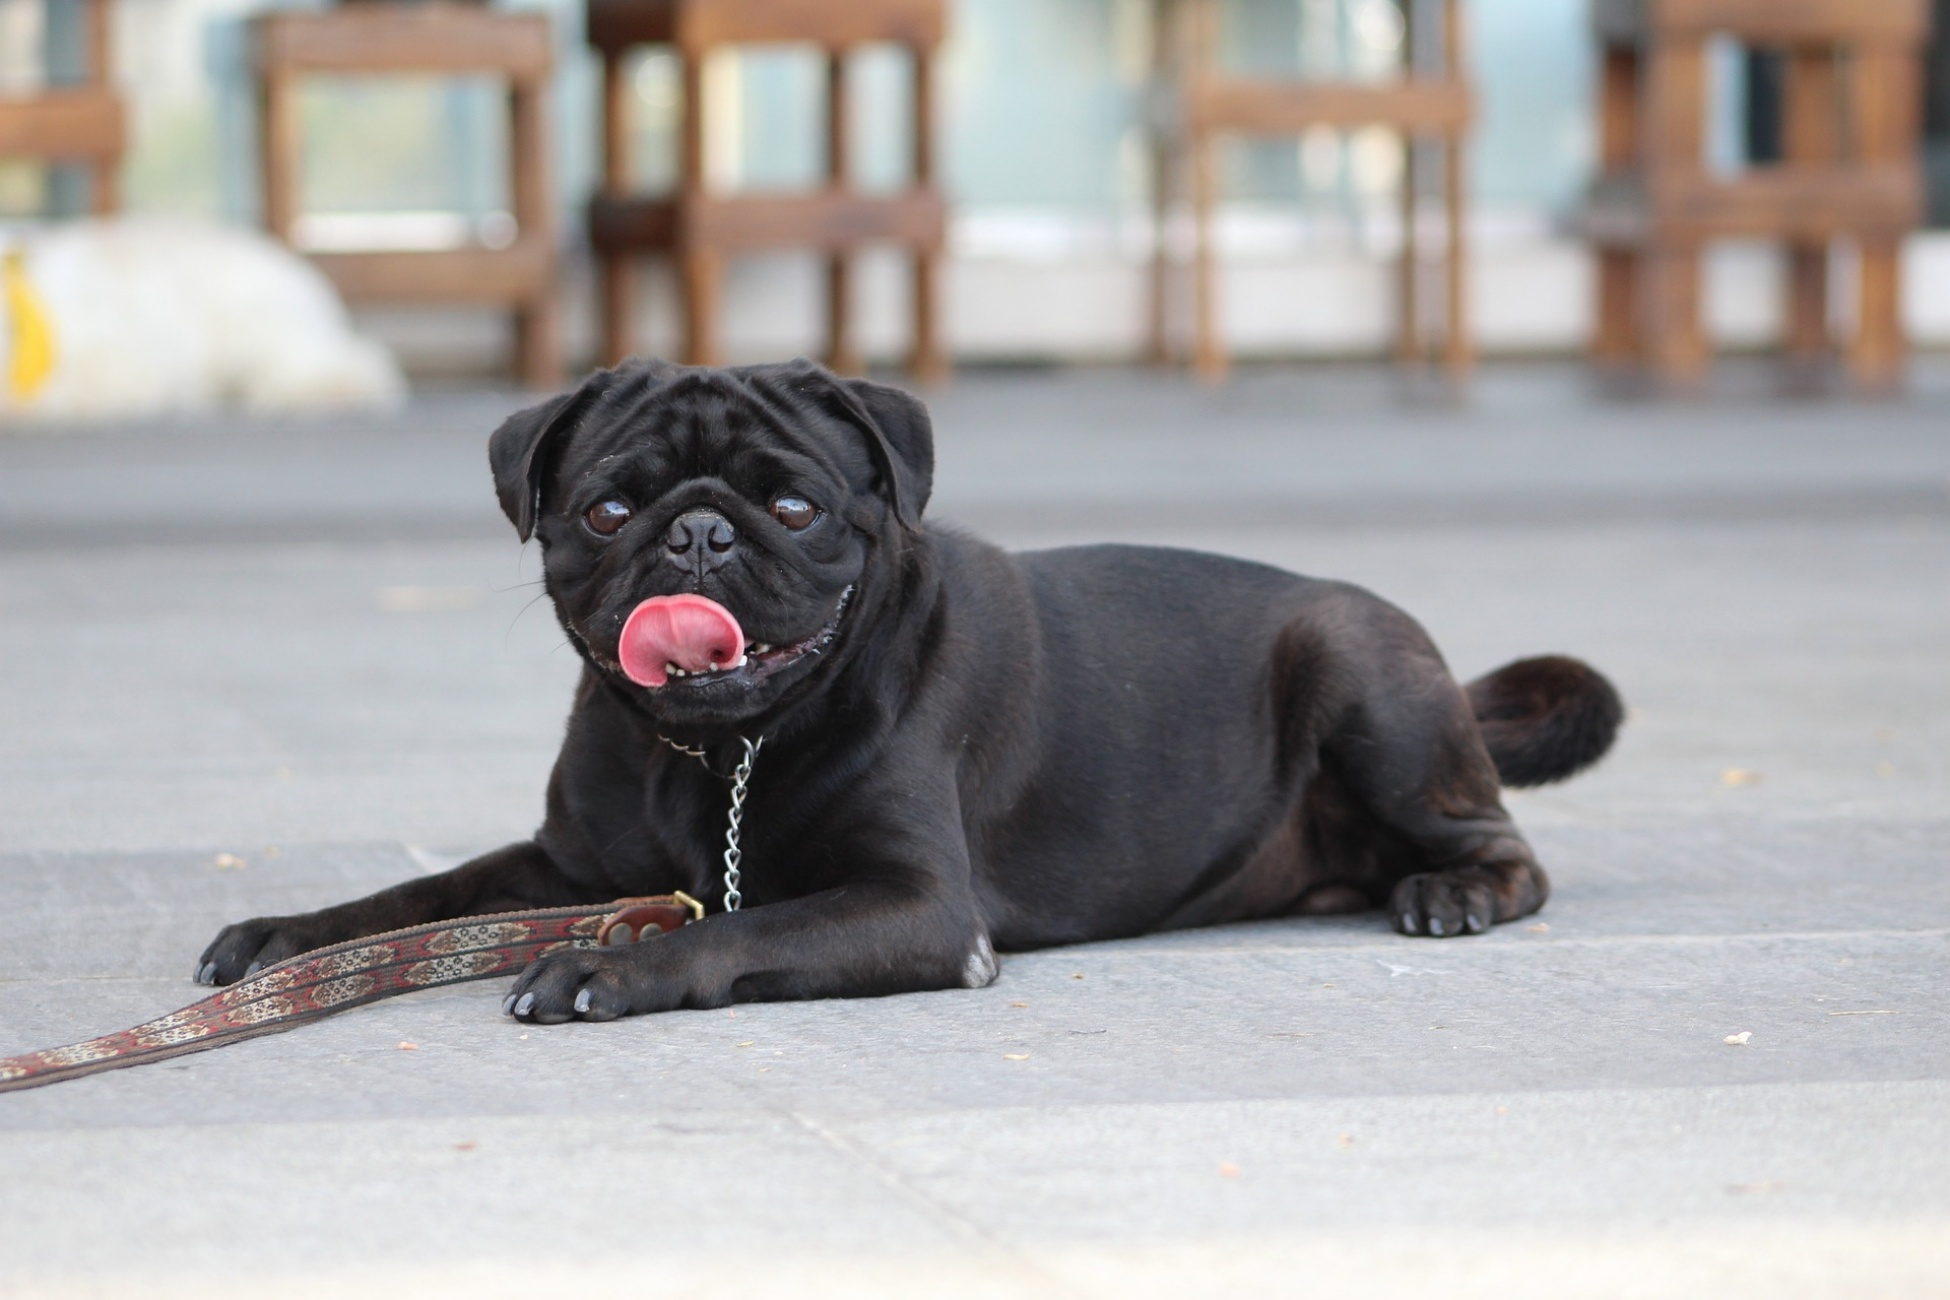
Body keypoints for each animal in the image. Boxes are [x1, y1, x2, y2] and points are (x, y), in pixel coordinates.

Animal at [197, 360, 1622, 1021]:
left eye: (793, 506)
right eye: (605, 508)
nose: (696, 534)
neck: (715, 757)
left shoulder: (918, 907)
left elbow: (728, 931)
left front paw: (613, 963)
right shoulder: (565, 864)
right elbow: (428, 898)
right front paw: (288, 941)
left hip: (1361, 674)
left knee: (1506, 843)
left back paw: (1449, 892)